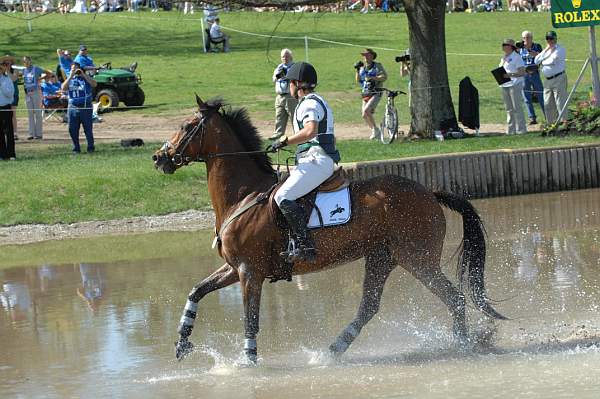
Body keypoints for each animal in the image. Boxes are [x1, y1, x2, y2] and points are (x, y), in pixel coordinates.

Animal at [152, 95, 504, 364]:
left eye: (186, 127)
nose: (159, 157)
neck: (244, 194)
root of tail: (429, 192)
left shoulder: (249, 272)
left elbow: (250, 320)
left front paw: (248, 362)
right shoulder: (235, 267)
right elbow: (196, 290)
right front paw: (182, 342)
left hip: (417, 259)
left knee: (455, 299)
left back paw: (462, 345)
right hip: (382, 257)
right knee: (369, 306)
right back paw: (333, 349)